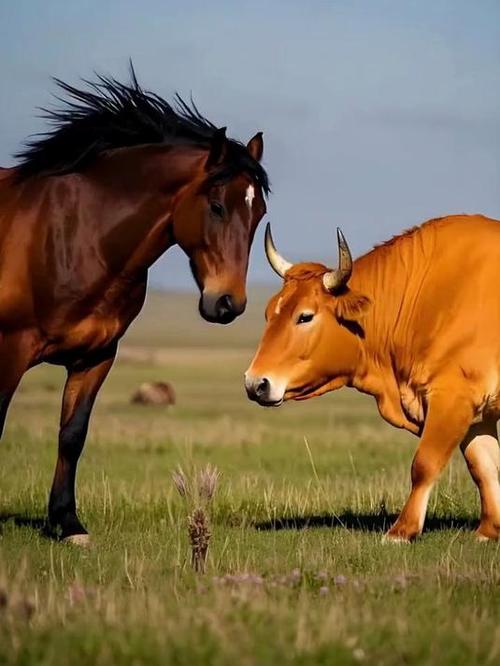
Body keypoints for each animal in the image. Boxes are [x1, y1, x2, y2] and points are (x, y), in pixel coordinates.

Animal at [0, 68, 269, 544]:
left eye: (259, 215)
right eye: (216, 205)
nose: (228, 304)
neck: (79, 236)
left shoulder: (96, 357)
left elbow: (73, 434)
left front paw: (68, 523)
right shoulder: (9, 348)